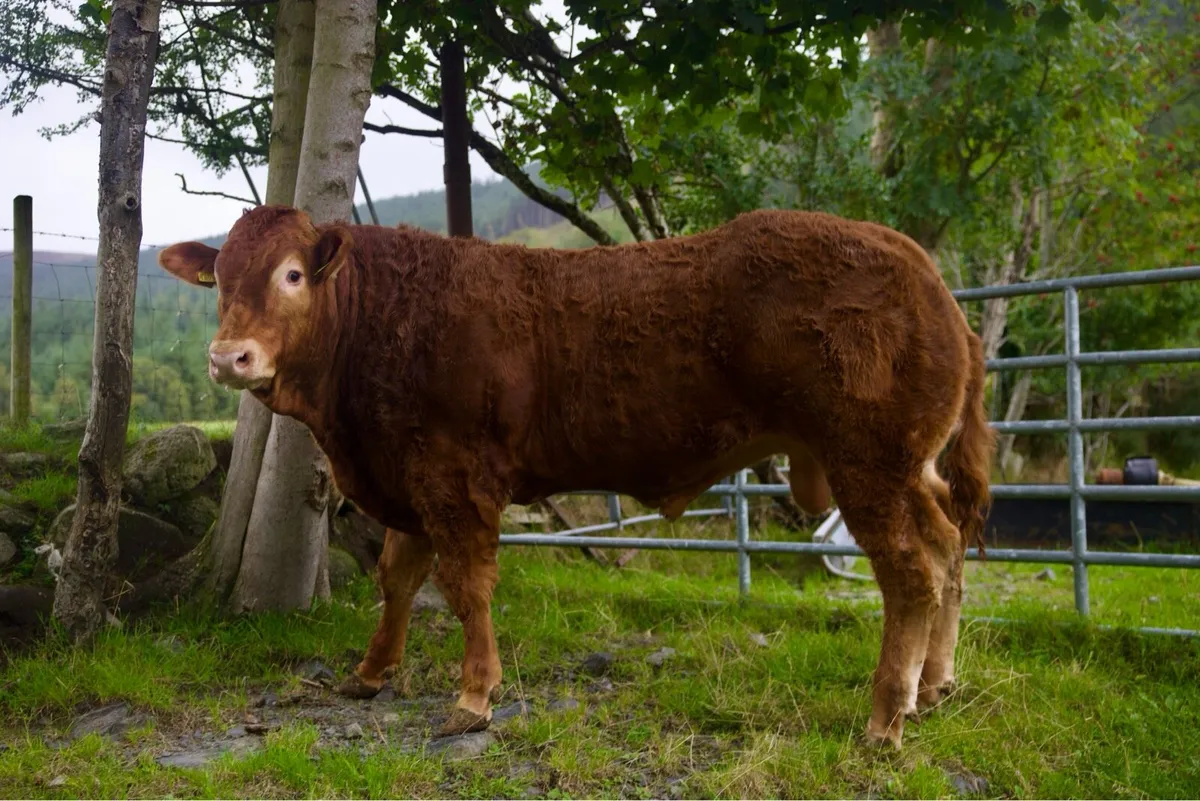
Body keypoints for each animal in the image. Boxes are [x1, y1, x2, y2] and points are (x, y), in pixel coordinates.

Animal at [158, 204, 994, 749]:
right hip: (910, 468)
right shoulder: (407, 475)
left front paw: (473, 695)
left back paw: (887, 715)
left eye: (293, 274)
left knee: (910, 573)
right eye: (218, 278)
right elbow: (397, 577)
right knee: (948, 547)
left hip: (869, 462)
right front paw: (371, 672)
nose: (228, 357)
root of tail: (920, 268)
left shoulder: (453, 474)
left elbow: (465, 584)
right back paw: (936, 684)